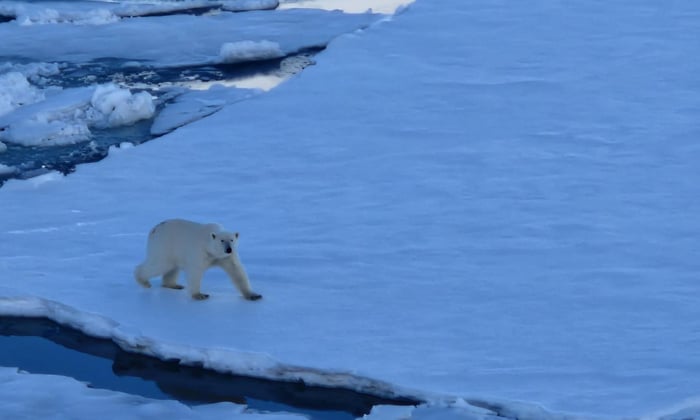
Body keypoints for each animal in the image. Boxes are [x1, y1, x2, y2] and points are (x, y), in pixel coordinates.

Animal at [134, 219, 262, 301]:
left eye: (231, 240)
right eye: (222, 241)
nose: (228, 249)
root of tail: (154, 229)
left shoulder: (227, 257)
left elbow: (237, 271)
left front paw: (253, 295)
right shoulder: (200, 252)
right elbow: (195, 271)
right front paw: (199, 295)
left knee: (172, 268)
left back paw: (174, 285)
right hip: (164, 245)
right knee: (159, 265)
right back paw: (143, 281)